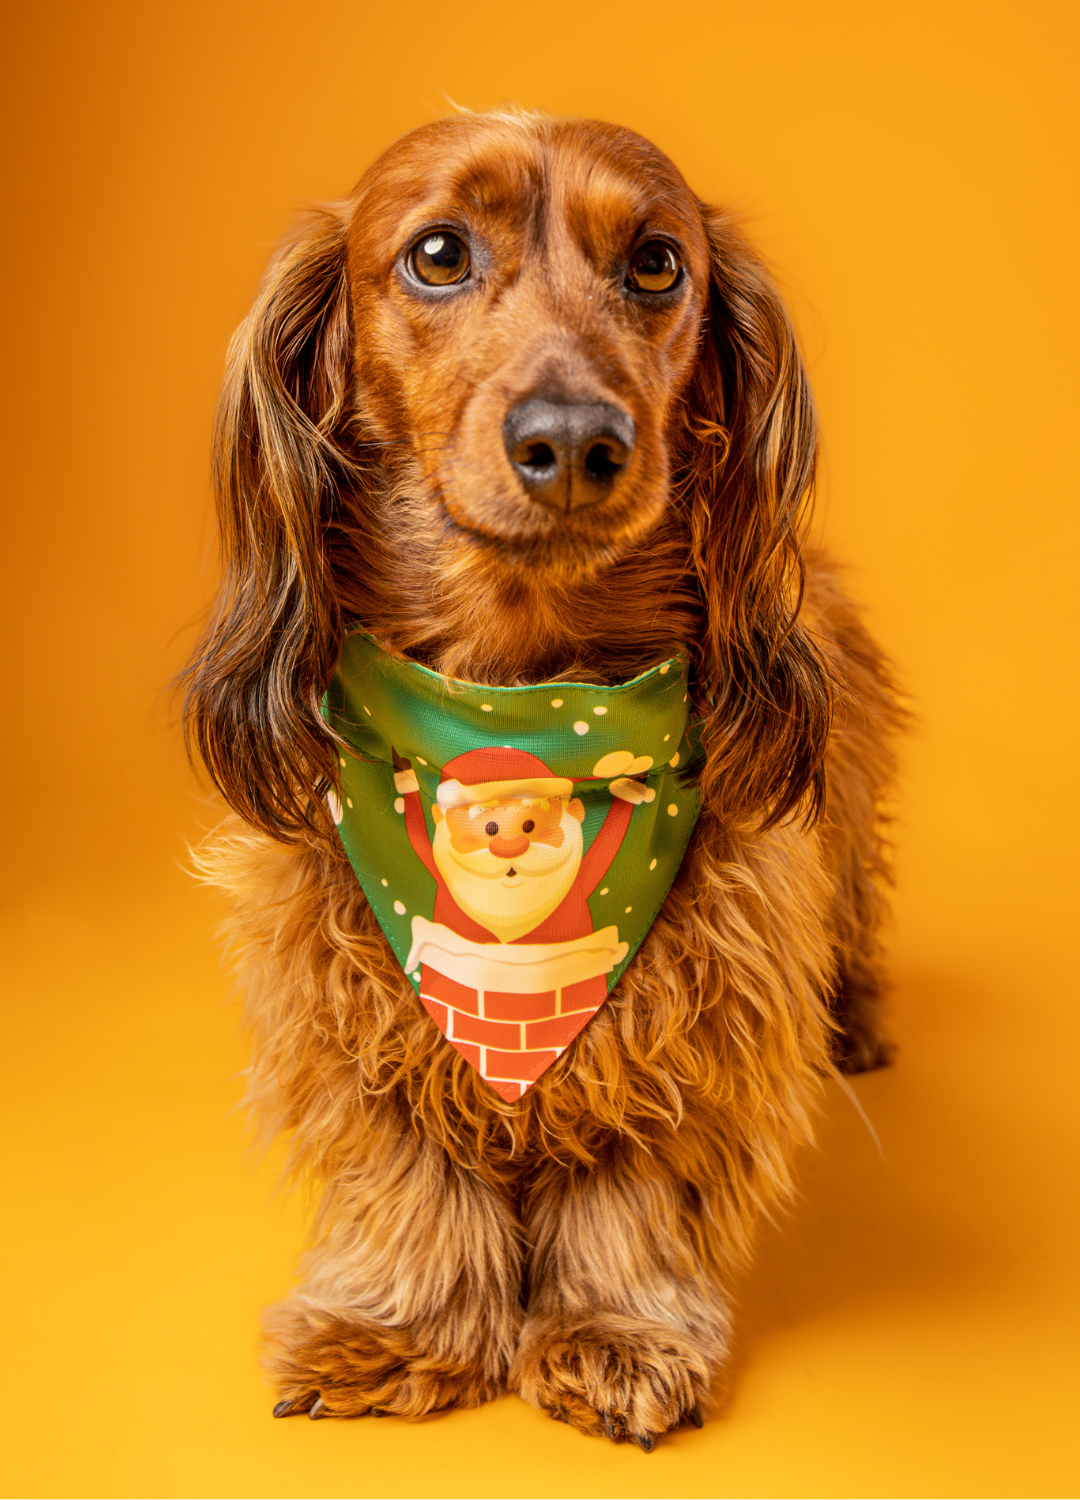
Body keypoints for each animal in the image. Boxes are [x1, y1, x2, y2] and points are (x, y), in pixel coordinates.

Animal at [186, 111, 900, 1446]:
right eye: (437, 254)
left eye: (658, 264)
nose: (572, 443)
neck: (520, 703)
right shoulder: (351, 988)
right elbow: (405, 1167)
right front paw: (396, 1328)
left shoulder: (700, 994)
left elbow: (634, 1178)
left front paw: (619, 1332)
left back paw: (859, 1024)